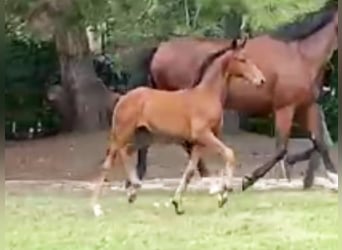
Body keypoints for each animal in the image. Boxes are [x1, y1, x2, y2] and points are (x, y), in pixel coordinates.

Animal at [92, 38, 266, 216]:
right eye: (242, 59)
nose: (261, 80)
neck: (207, 95)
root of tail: (122, 98)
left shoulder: (200, 141)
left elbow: (190, 171)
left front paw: (177, 203)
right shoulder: (203, 134)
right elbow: (229, 154)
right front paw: (225, 192)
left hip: (142, 136)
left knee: (125, 153)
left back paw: (133, 190)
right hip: (123, 133)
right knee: (110, 160)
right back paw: (97, 206)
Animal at [129, 1, 340, 190]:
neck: (300, 55)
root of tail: (159, 50)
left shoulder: (307, 106)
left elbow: (320, 143)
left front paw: (332, 177)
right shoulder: (285, 108)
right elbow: (282, 149)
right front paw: (249, 179)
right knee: (183, 141)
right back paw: (206, 178)